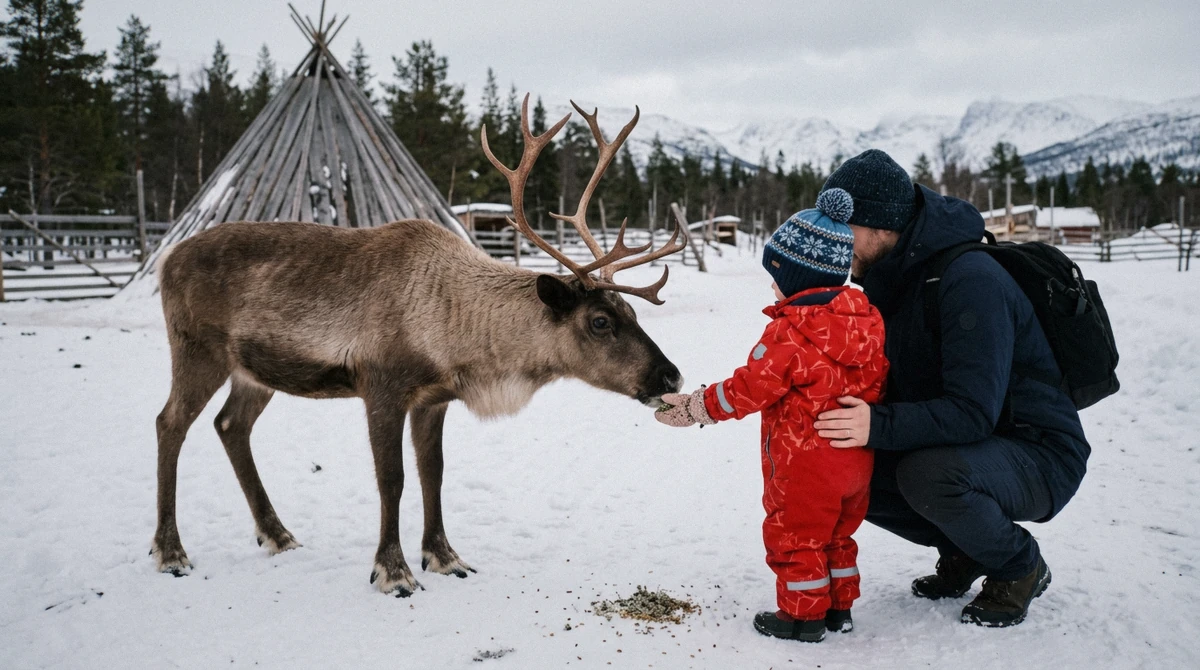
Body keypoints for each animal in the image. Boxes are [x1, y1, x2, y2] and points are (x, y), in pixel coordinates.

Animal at [151, 95, 688, 596]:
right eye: (599, 321)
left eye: (632, 313)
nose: (671, 374)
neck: (456, 327)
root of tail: (165, 259)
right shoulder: (382, 388)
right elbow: (393, 479)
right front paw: (394, 571)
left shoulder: (433, 399)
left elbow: (434, 473)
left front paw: (445, 557)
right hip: (196, 350)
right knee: (170, 423)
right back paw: (171, 551)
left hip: (254, 371)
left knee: (229, 425)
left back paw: (277, 535)